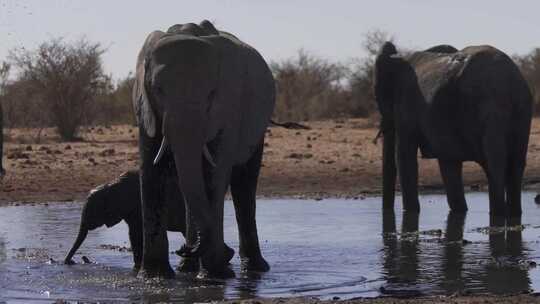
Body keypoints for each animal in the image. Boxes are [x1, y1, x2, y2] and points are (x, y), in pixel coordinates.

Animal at [131, 20, 274, 278]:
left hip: (258, 125)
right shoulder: (145, 107)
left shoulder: (228, 108)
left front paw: (215, 275)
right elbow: (150, 173)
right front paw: (154, 277)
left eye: (211, 94)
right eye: (158, 89)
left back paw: (252, 269)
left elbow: (214, 175)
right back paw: (186, 268)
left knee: (243, 183)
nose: (183, 249)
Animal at [374, 42, 532, 216]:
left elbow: (404, 157)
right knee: (513, 165)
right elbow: (449, 164)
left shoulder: (405, 105)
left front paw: (410, 212)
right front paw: (460, 211)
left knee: (494, 165)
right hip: (520, 111)